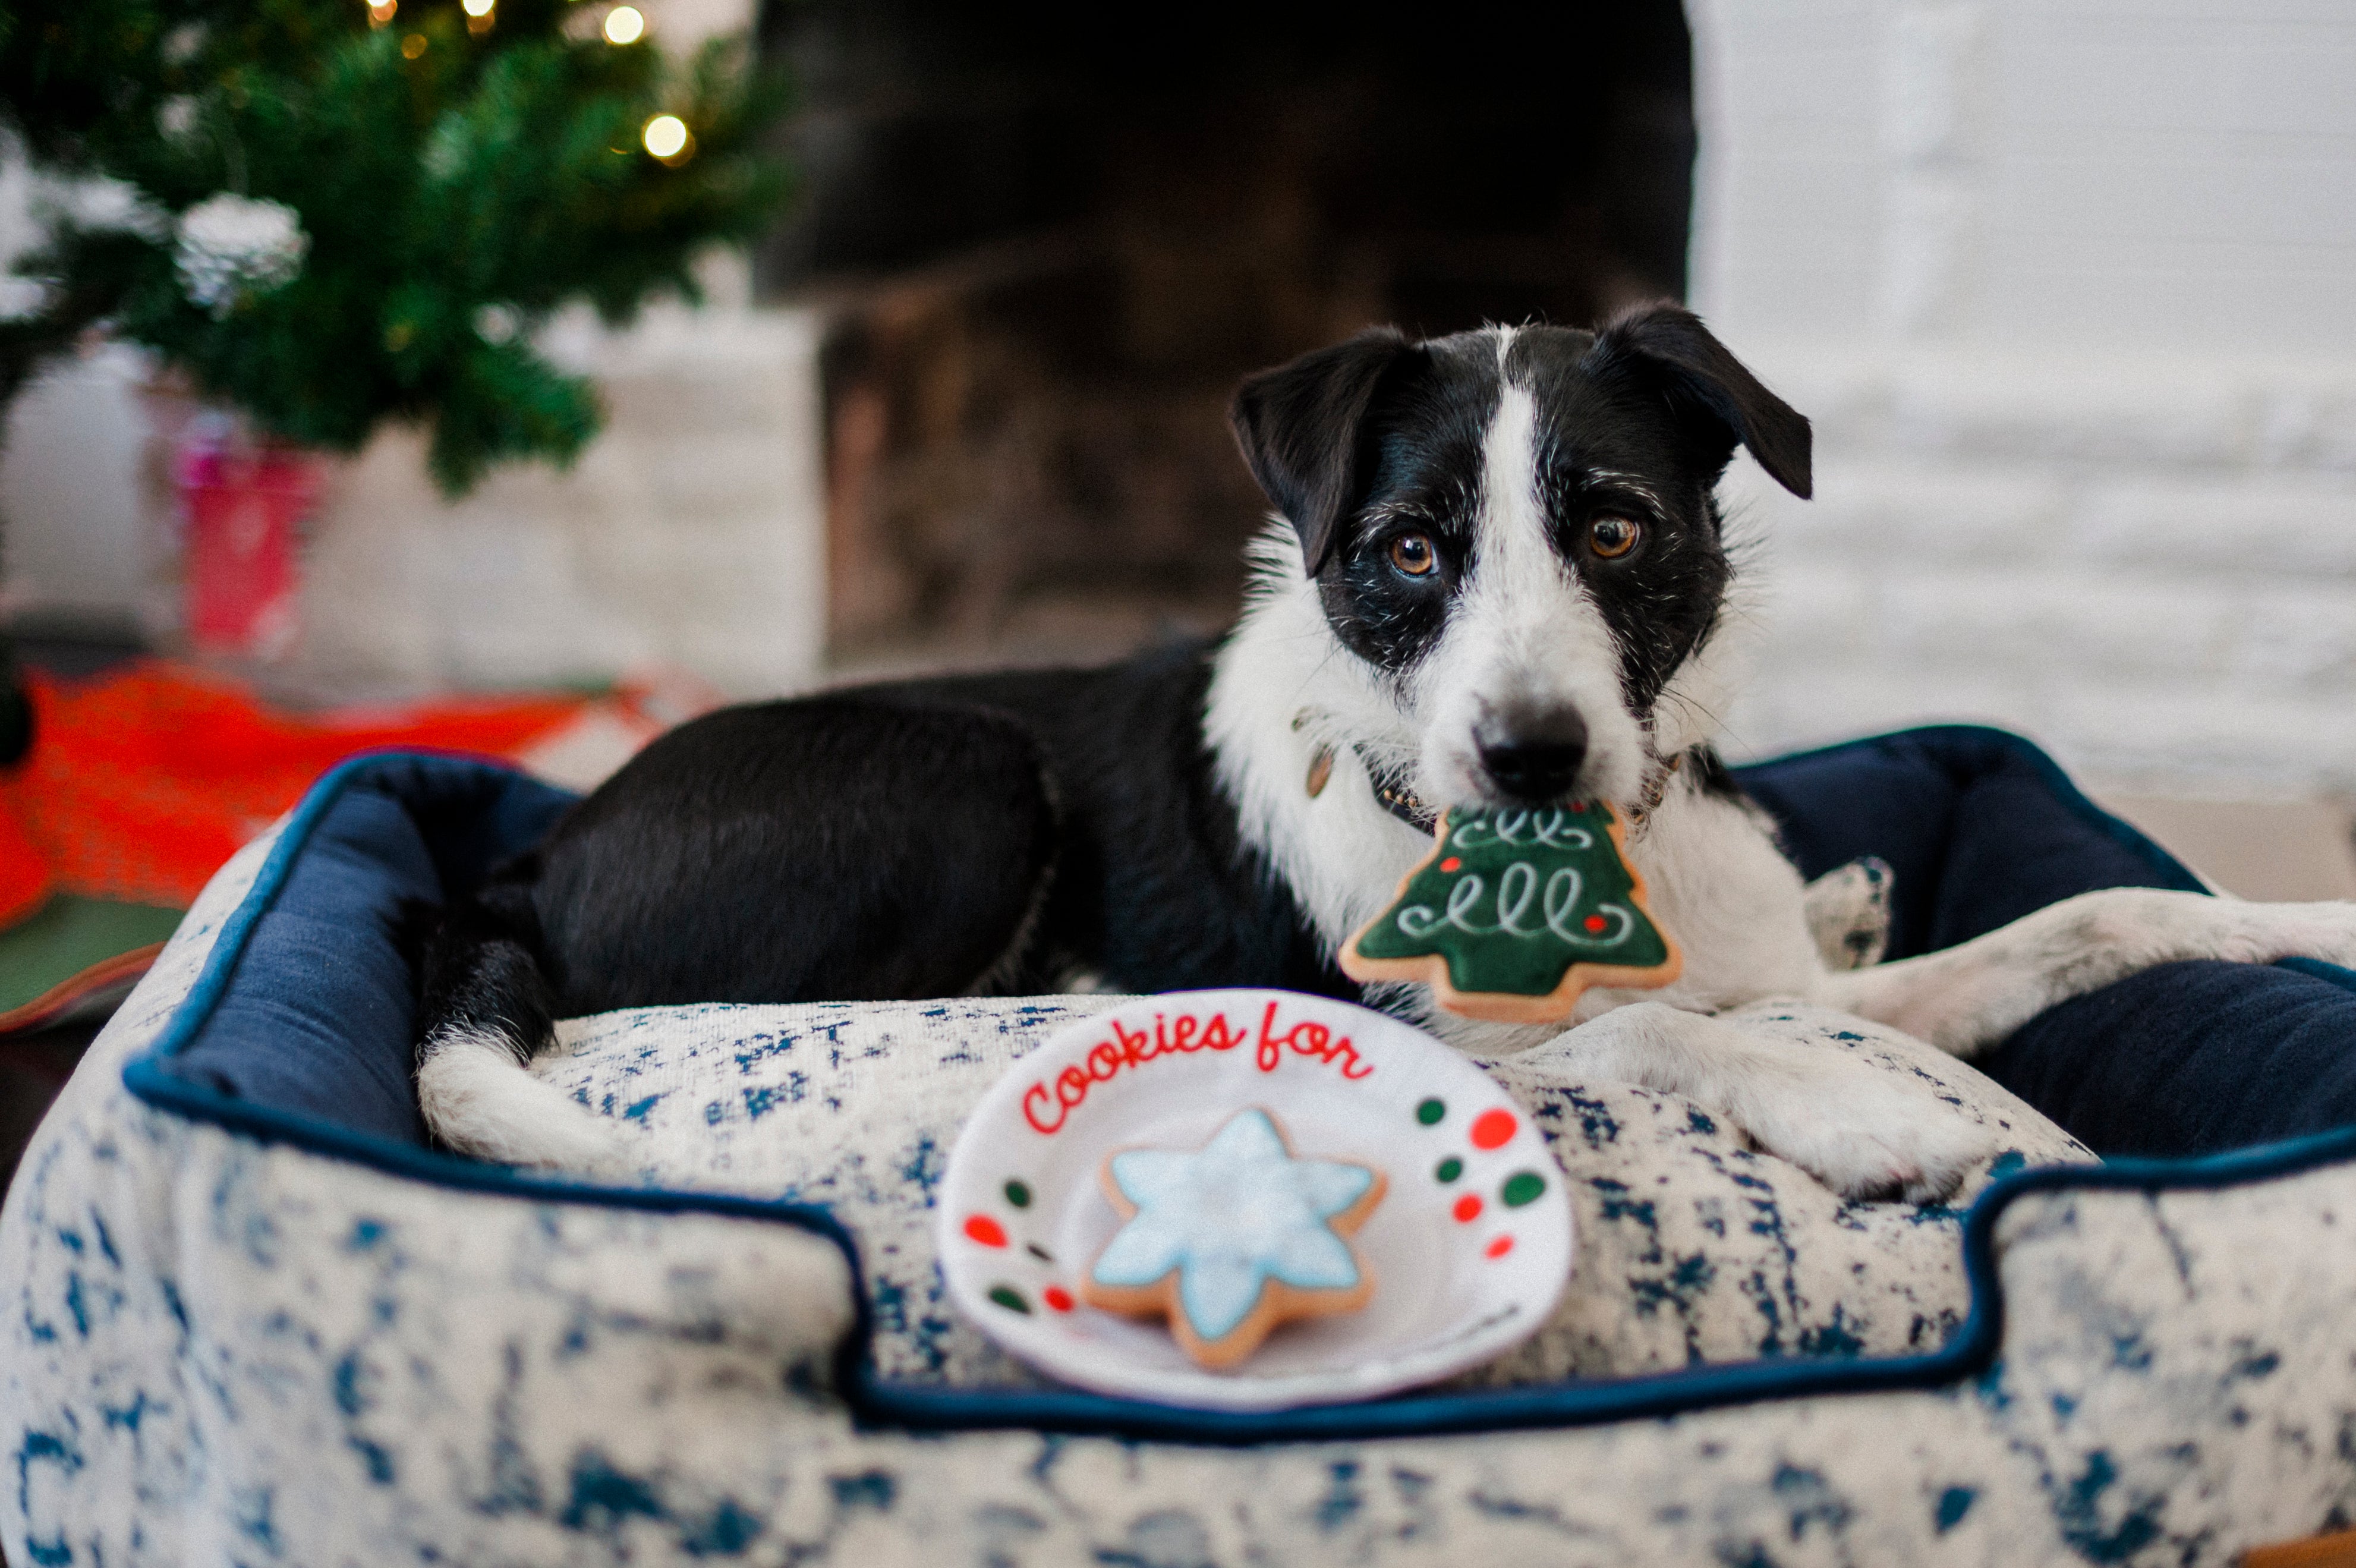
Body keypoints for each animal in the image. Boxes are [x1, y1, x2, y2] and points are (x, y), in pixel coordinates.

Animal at [414, 308, 2356, 1198]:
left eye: (1618, 527)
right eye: (1409, 549)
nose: (1529, 754)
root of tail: (525, 858)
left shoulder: (1798, 969)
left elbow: (2084, 915)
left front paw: (2304, 925)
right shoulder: (1444, 1029)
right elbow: (1659, 1033)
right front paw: (1863, 1117)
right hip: (955, 773)